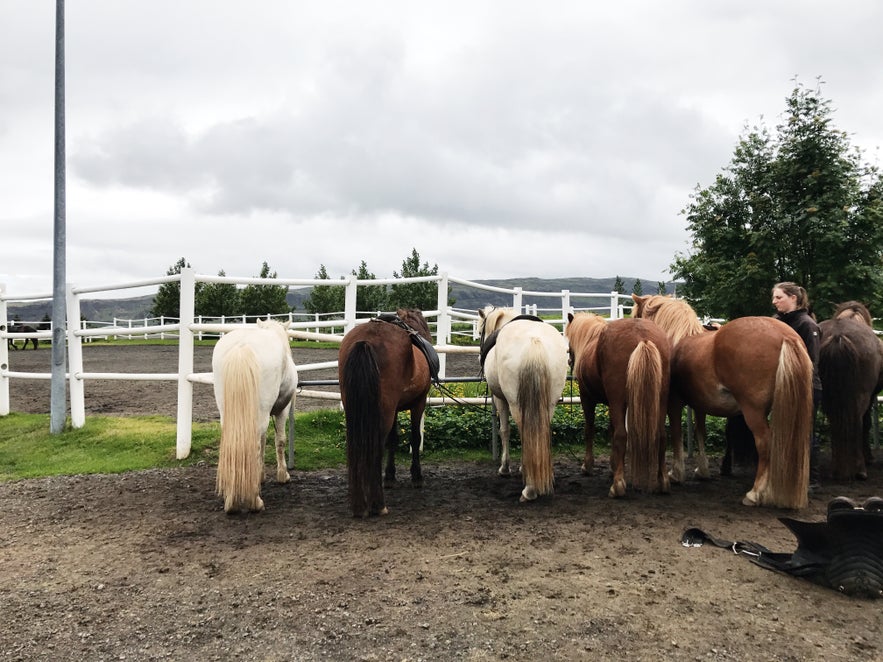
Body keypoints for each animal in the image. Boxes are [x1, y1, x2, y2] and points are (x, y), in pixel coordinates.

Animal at [212, 320, 298, 516]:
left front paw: (260, 475)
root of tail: (241, 348)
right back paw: (254, 502)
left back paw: (231, 501)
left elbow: (264, 443)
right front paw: (283, 475)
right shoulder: (282, 410)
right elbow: (279, 441)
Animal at [480, 306, 568, 504]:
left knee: (524, 432)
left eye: (480, 331)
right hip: (549, 403)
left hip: (515, 403)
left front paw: (505, 468)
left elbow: (504, 431)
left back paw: (529, 488)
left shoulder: (501, 400)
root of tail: (534, 342)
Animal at [568, 316, 668, 498]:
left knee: (622, 436)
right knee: (661, 435)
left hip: (617, 400)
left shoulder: (588, 399)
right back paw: (663, 481)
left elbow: (590, 430)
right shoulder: (612, 405)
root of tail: (642, 337)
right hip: (661, 399)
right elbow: (610, 430)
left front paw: (588, 466)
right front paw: (613, 465)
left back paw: (618, 486)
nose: (570, 360)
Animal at [628, 298, 816, 510]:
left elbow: (676, 434)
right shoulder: (700, 404)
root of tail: (786, 336)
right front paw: (702, 471)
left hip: (753, 411)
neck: (678, 339)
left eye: (636, 315)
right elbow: (700, 432)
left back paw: (755, 493)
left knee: (765, 443)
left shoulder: (674, 404)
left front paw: (676, 473)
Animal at [820, 302, 883, 482]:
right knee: (858, 423)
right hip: (860, 397)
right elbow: (866, 424)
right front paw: (869, 457)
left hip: (829, 397)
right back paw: (860, 469)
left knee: (834, 424)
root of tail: (838, 336)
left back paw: (836, 469)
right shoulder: (871, 397)